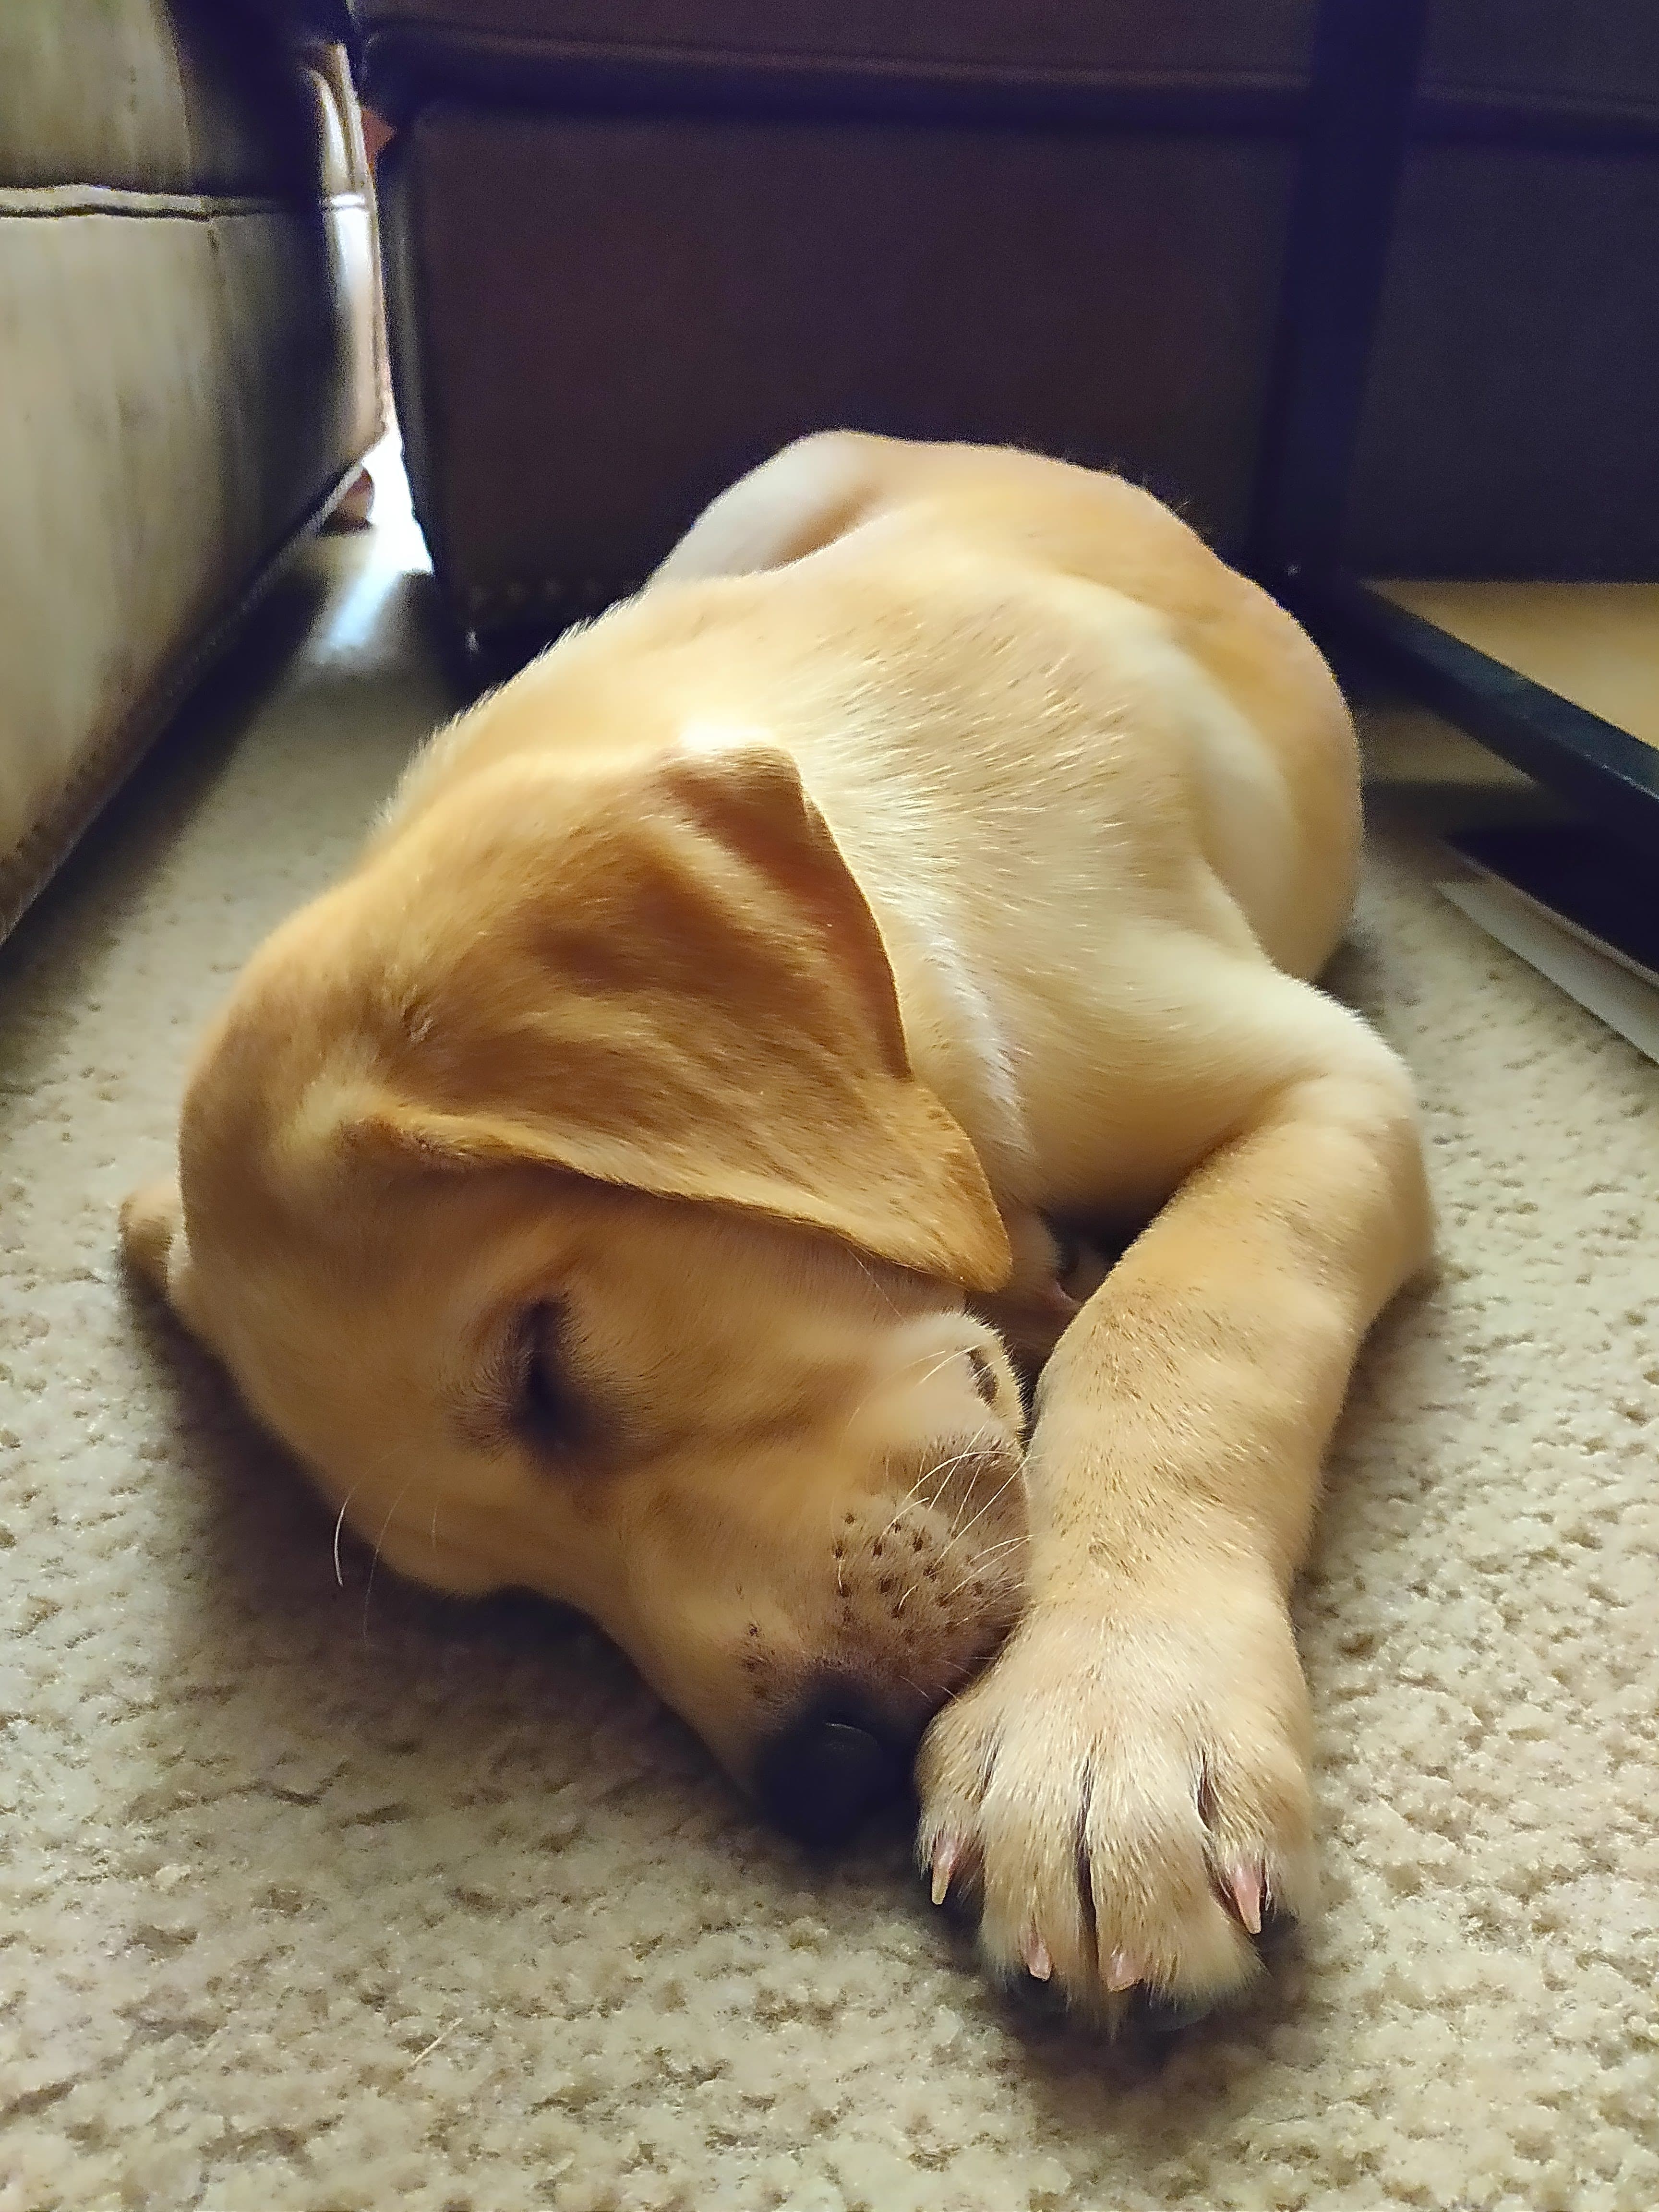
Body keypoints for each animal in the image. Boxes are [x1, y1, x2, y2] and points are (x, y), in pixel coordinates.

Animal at [123, 427, 1433, 2026]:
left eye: (544, 1367)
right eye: (507, 1601)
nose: (826, 1774)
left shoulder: (1324, 1081)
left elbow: (1182, 1337)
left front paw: (1108, 1721)